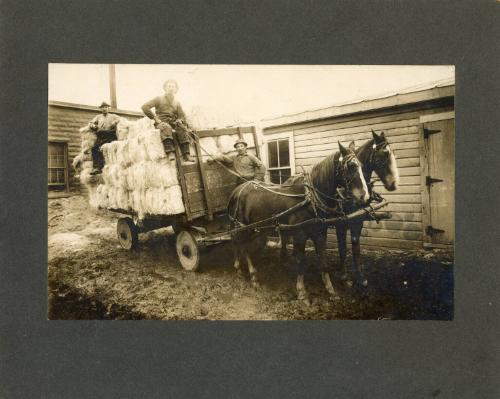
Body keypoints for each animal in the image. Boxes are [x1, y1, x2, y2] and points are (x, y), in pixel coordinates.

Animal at [229, 142, 370, 304]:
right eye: (351, 166)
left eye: (361, 165)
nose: (365, 196)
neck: (309, 199)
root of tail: (236, 191)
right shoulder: (300, 235)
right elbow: (301, 262)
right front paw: (302, 292)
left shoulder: (319, 233)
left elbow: (324, 261)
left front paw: (330, 290)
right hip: (243, 227)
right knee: (244, 247)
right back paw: (252, 277)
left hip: (253, 228)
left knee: (240, 244)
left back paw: (240, 268)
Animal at [336, 130, 402, 290]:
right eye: (384, 153)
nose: (394, 184)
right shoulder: (340, 224)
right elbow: (342, 248)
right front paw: (343, 276)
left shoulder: (358, 221)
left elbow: (356, 248)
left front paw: (360, 278)